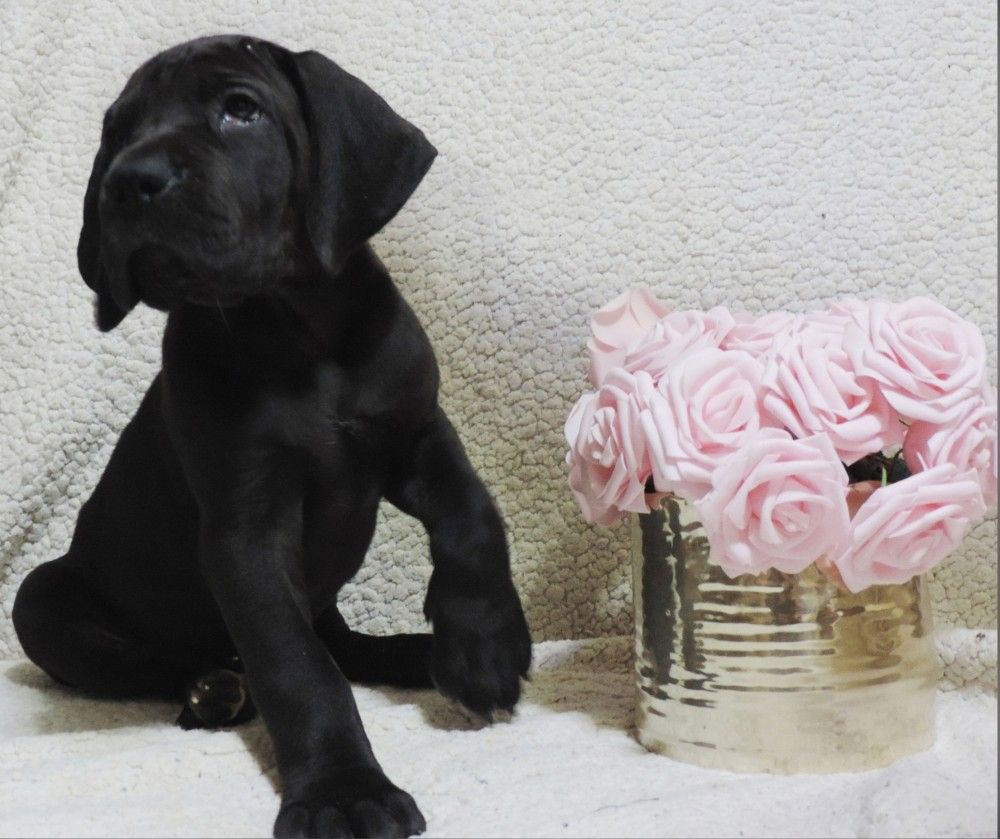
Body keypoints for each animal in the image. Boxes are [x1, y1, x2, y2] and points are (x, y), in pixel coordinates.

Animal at [12, 34, 531, 838]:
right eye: (118, 133)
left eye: (241, 109)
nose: (130, 183)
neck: (294, 327)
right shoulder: (246, 527)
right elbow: (294, 664)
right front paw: (344, 791)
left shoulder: (415, 432)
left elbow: (473, 511)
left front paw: (483, 645)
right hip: (39, 599)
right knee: (210, 662)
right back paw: (214, 691)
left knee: (342, 645)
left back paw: (421, 654)